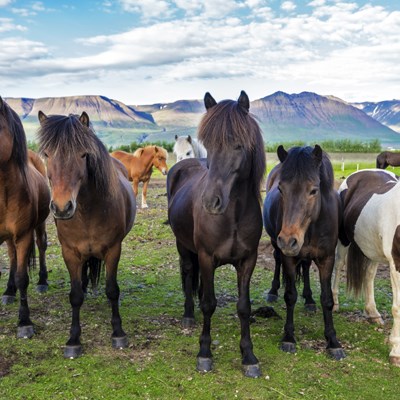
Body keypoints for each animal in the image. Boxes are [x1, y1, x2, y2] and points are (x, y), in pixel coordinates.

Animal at [38, 110, 138, 360]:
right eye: (47, 154)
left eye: (83, 154)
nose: (62, 207)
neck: (88, 212)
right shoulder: (70, 253)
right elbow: (74, 295)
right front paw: (73, 340)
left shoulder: (113, 250)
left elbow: (112, 290)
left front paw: (118, 333)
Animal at [167, 91, 268, 378]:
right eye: (209, 145)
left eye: (239, 145)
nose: (211, 202)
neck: (232, 217)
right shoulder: (206, 257)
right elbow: (208, 304)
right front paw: (204, 353)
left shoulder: (247, 261)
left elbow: (243, 307)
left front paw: (248, 356)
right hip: (184, 247)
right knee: (189, 273)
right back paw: (189, 316)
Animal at [264, 145, 346, 360]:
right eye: (281, 189)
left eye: (313, 190)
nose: (288, 240)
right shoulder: (289, 258)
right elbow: (290, 295)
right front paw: (288, 338)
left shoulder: (327, 259)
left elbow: (327, 299)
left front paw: (333, 341)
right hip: (277, 246)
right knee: (277, 260)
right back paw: (273, 291)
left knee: (307, 267)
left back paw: (309, 299)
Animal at [332, 168, 400, 366]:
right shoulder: (396, 265)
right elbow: (398, 308)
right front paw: (396, 351)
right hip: (343, 240)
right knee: (338, 265)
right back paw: (334, 303)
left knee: (369, 275)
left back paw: (372, 313)